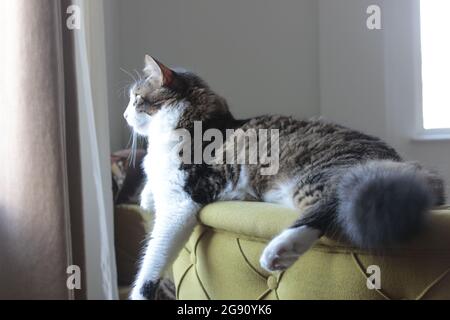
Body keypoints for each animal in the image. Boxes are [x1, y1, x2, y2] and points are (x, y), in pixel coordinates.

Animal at [124, 54, 446, 300]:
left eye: (136, 98)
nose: (125, 115)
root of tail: (406, 166)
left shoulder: (181, 201)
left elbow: (152, 260)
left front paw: (140, 293)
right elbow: (149, 187)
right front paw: (146, 196)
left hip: (318, 178)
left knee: (332, 206)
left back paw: (279, 250)